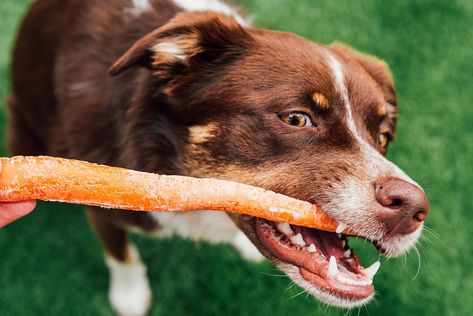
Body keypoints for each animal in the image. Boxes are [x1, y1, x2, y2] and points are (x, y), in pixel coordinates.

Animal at [8, 0, 428, 314]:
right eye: (296, 118)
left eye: (383, 136)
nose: (414, 208)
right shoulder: (102, 206)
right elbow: (121, 255)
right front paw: (130, 297)